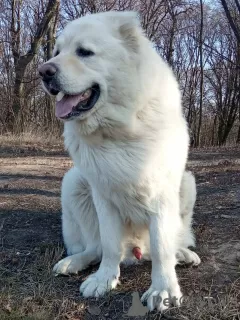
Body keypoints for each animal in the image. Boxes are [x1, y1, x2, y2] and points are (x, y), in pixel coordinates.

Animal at [39, 11, 201, 312]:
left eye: (84, 52)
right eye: (57, 52)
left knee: (170, 242)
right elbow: (110, 244)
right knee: (95, 247)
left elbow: (162, 246)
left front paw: (162, 289)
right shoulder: (103, 195)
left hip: (187, 184)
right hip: (74, 182)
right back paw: (74, 262)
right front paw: (104, 280)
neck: (118, 130)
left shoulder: (162, 194)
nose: (43, 71)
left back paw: (183, 254)